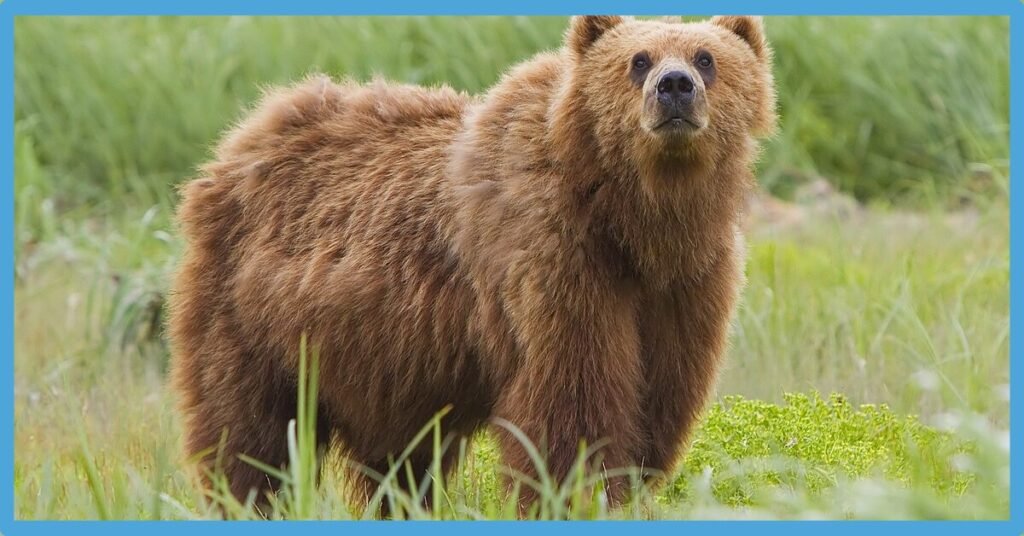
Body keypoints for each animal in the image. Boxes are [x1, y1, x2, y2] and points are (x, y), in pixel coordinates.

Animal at [168, 14, 776, 515]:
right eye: (639, 60)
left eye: (706, 57)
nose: (675, 87)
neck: (633, 222)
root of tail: (243, 136)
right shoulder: (555, 261)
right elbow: (573, 405)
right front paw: (578, 495)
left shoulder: (685, 286)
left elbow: (658, 400)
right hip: (252, 315)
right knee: (250, 431)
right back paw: (246, 499)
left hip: (384, 361)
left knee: (399, 457)